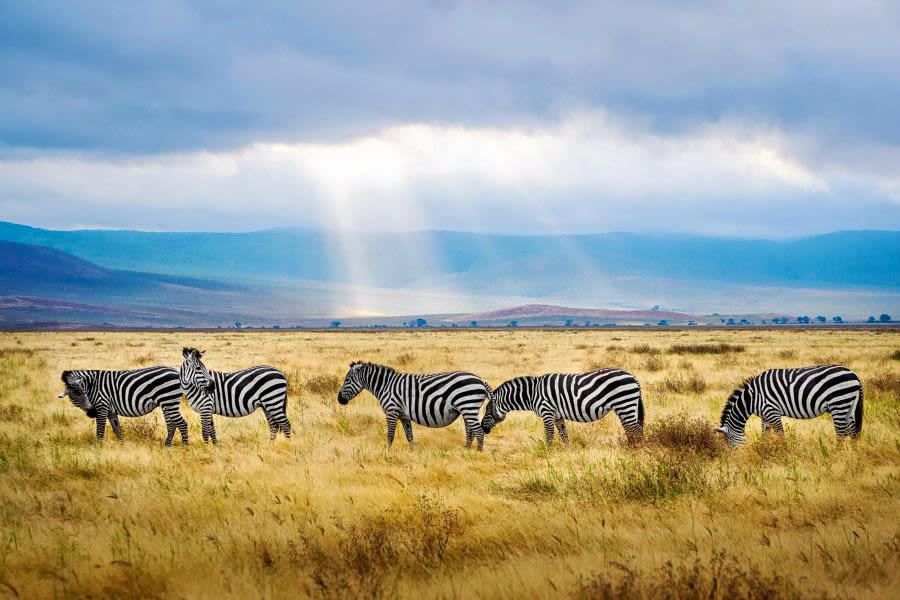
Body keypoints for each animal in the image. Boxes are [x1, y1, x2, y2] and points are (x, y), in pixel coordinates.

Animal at [58, 366, 188, 446]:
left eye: (83, 393)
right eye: (74, 396)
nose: (91, 412)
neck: (92, 386)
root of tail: (176, 372)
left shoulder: (102, 406)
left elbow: (100, 431)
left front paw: (97, 449)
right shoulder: (110, 411)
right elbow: (117, 429)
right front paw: (122, 445)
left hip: (169, 401)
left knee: (182, 423)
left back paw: (185, 447)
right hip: (167, 403)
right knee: (171, 424)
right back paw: (167, 446)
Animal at [337, 361, 492, 450]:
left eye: (347, 380)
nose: (339, 399)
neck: (385, 386)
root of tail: (481, 380)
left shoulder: (392, 411)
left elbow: (390, 435)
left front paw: (388, 453)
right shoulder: (404, 416)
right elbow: (409, 435)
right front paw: (411, 453)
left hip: (468, 406)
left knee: (478, 431)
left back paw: (477, 454)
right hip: (467, 409)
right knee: (470, 430)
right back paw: (466, 451)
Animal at [481, 369, 644, 445]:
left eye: (487, 410)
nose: (483, 428)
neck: (532, 394)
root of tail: (633, 376)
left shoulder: (547, 412)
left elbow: (549, 436)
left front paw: (548, 454)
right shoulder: (558, 416)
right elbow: (564, 435)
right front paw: (566, 454)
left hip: (625, 404)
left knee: (636, 430)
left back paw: (636, 451)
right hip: (625, 407)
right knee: (631, 430)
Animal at [716, 365, 863, 447]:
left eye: (729, 442)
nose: (735, 459)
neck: (752, 398)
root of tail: (854, 374)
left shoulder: (772, 411)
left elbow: (781, 435)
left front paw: (785, 453)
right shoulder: (765, 416)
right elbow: (765, 435)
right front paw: (764, 450)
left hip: (838, 403)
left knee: (842, 433)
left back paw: (835, 456)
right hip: (848, 405)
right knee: (852, 431)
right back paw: (853, 455)